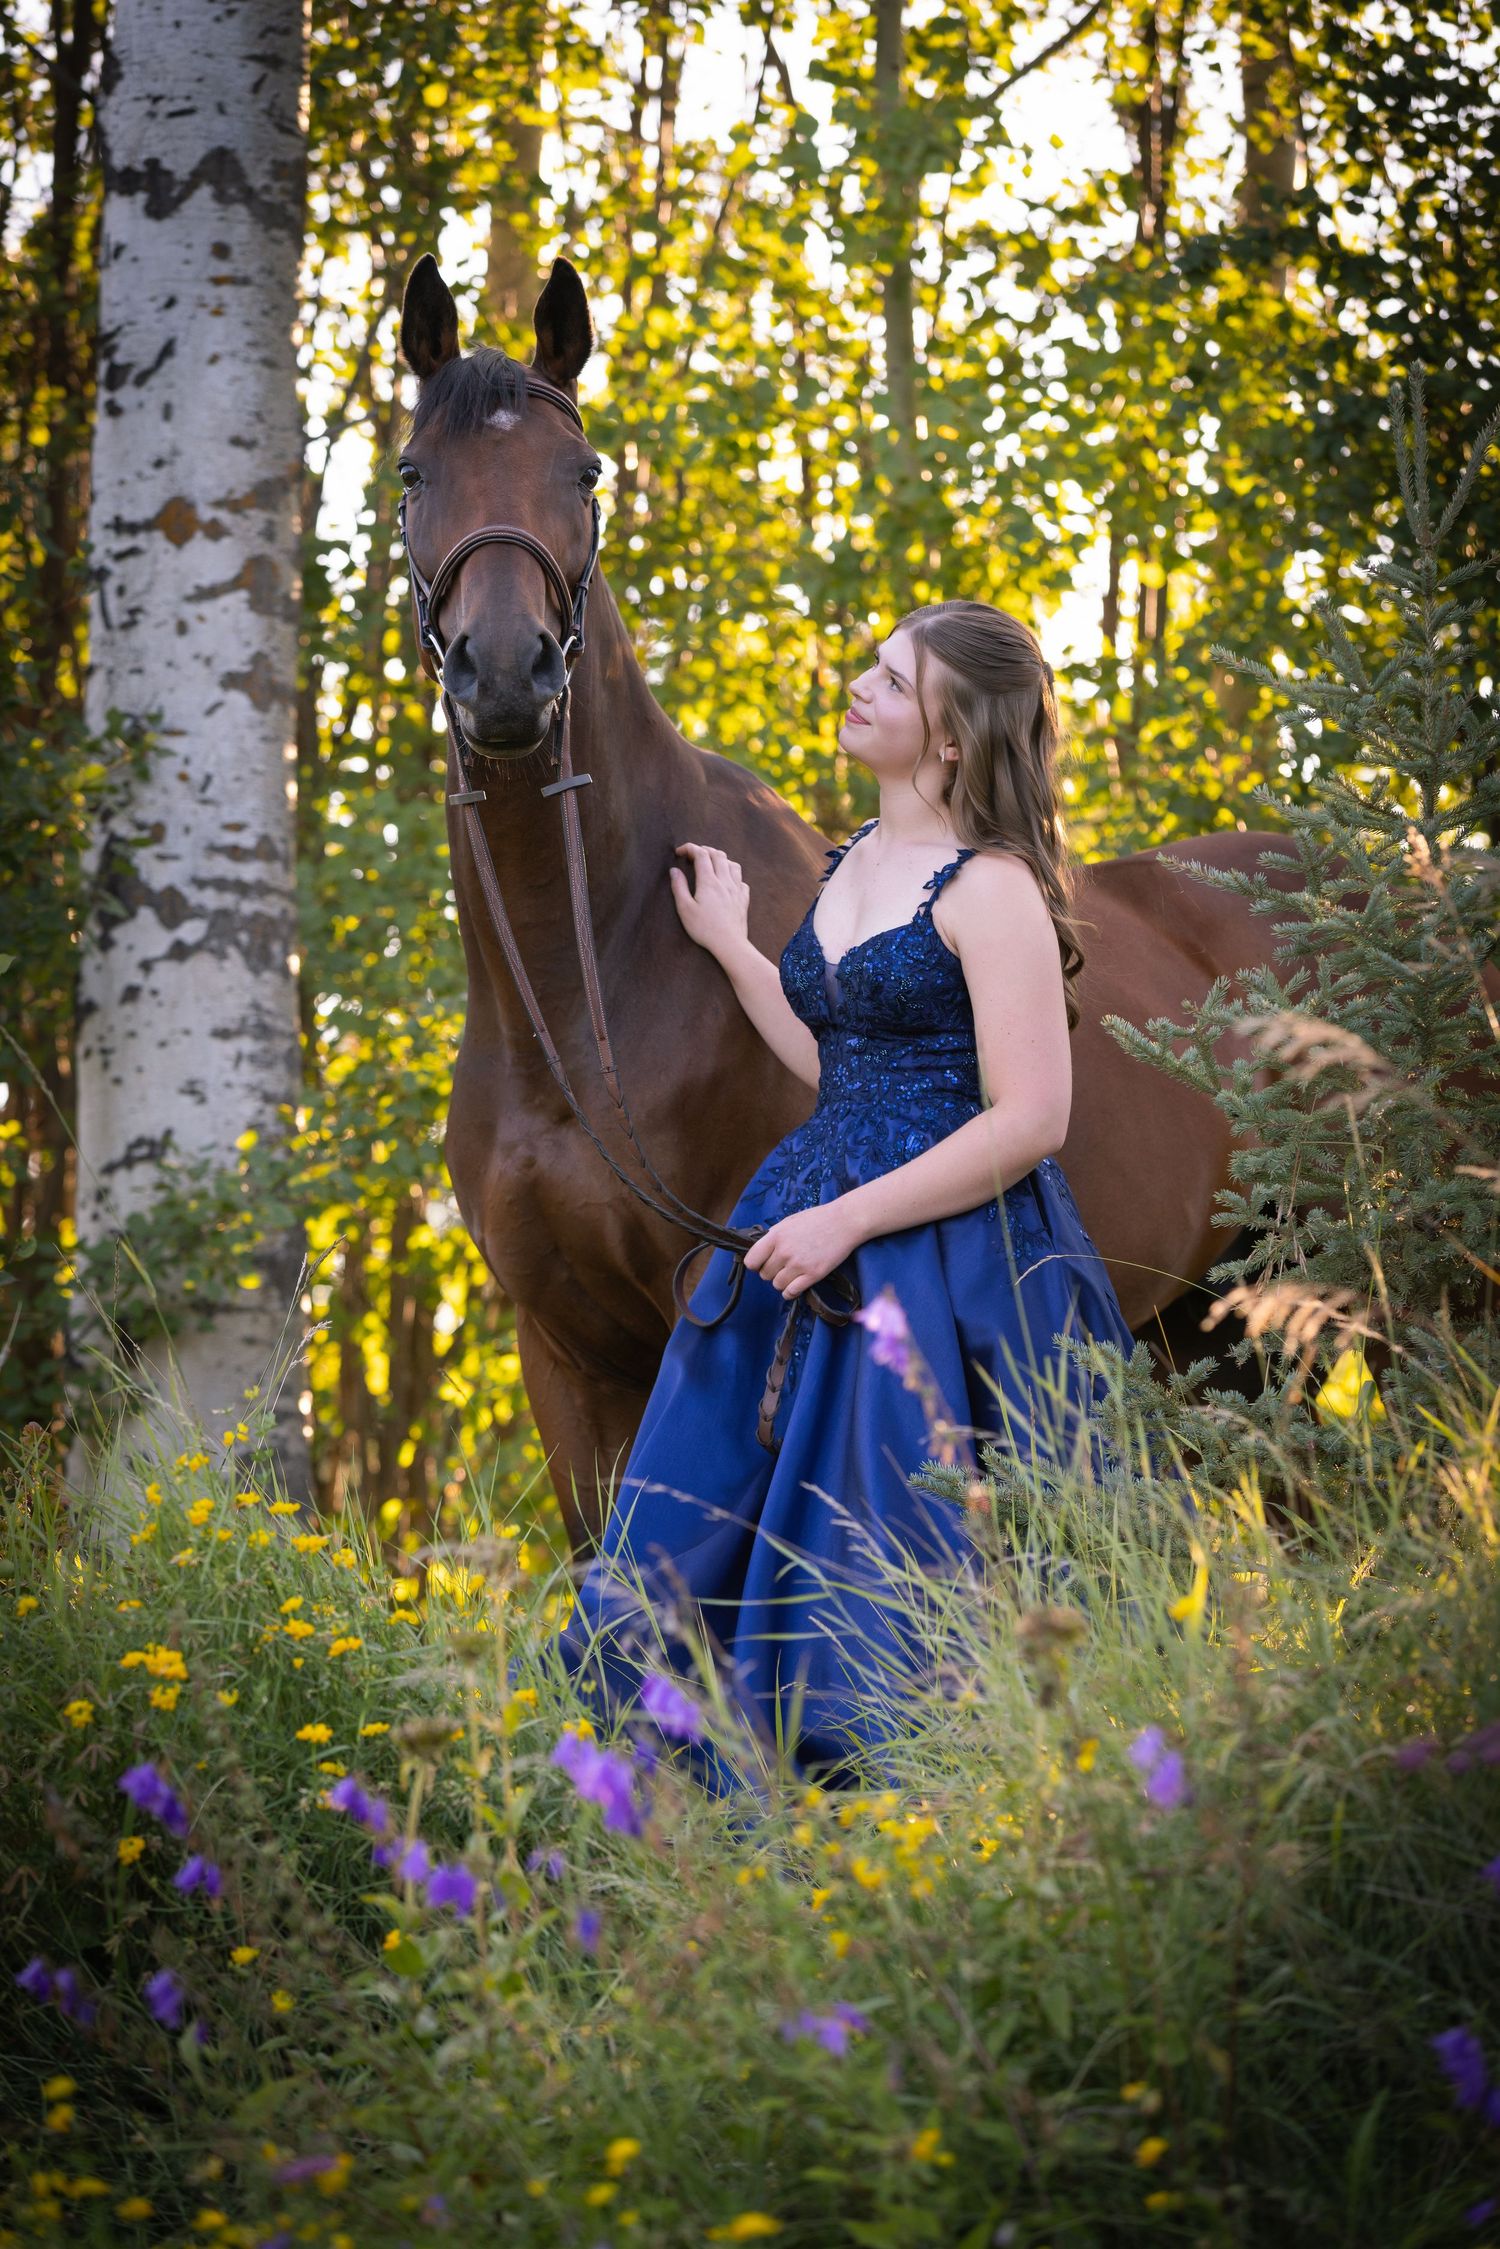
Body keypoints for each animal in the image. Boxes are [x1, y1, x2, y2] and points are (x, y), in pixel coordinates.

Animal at [397, 252, 1299, 1552]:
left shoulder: (710, 1296)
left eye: (585, 473)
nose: (507, 673)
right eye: (415, 473)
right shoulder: (560, 1353)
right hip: (1203, 1322)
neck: (585, 990)